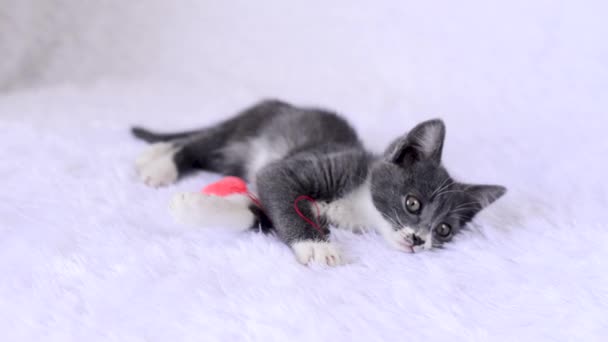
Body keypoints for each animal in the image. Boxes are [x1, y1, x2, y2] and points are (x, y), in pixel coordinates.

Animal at [132, 100, 504, 266]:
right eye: (412, 202)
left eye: (444, 230)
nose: (418, 239)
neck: (359, 204)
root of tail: (279, 103)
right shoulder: (312, 166)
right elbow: (278, 192)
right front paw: (317, 246)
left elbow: (257, 212)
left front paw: (198, 206)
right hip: (246, 129)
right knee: (198, 144)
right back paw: (160, 163)